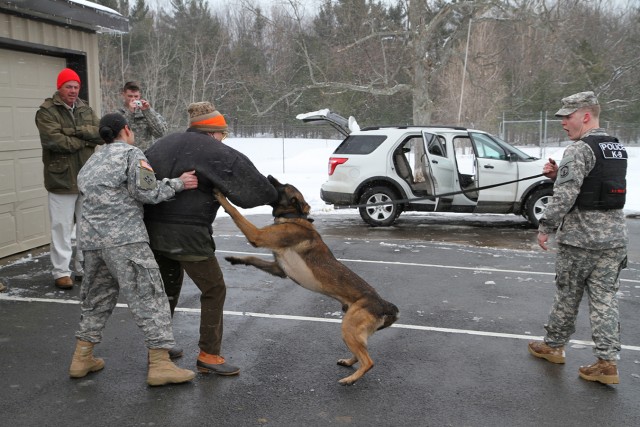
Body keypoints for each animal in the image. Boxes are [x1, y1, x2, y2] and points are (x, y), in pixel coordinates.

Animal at [212, 176, 398, 386]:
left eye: (283, 186)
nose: (269, 176)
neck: (294, 216)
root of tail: (384, 304)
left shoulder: (257, 236)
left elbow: (235, 213)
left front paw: (220, 196)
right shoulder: (278, 269)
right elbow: (253, 259)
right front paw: (236, 259)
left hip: (348, 327)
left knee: (369, 361)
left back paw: (349, 379)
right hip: (353, 330)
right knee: (361, 353)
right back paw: (349, 362)